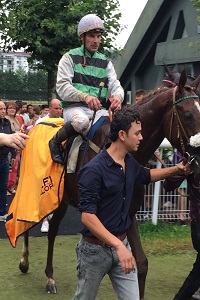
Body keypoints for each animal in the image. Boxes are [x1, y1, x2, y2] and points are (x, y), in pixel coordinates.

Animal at [14, 69, 200, 298]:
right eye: (188, 115)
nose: (198, 160)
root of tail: (32, 128)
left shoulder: (129, 213)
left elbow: (142, 263)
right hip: (35, 189)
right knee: (28, 221)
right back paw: (26, 263)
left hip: (61, 198)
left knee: (54, 229)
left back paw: (48, 275)